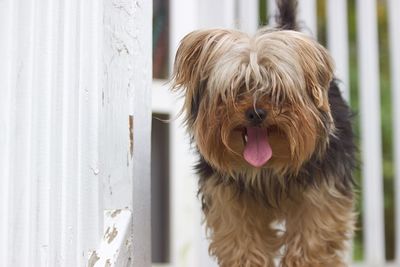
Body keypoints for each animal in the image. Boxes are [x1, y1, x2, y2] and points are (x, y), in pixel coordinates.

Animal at [170, 1, 354, 266]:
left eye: (277, 90)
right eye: (237, 88)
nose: (256, 113)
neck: (267, 168)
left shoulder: (322, 192)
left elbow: (313, 239)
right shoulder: (228, 200)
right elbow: (242, 242)